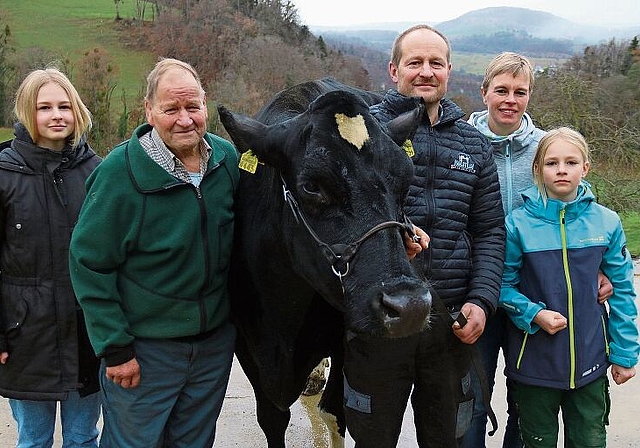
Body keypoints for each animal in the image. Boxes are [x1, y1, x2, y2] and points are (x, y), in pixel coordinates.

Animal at [218, 79, 432, 446]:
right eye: (311, 186)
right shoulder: (248, 346)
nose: (410, 305)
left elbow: (333, 412)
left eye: (406, 182)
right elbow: (272, 418)